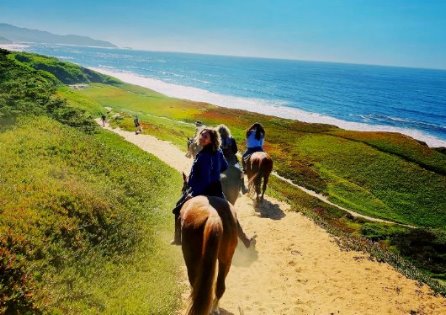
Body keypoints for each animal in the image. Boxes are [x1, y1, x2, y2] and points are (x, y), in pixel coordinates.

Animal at [179, 174, 254, 314]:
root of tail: (214, 217)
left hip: (191, 254)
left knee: (194, 280)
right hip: (226, 258)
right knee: (220, 286)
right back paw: (214, 308)